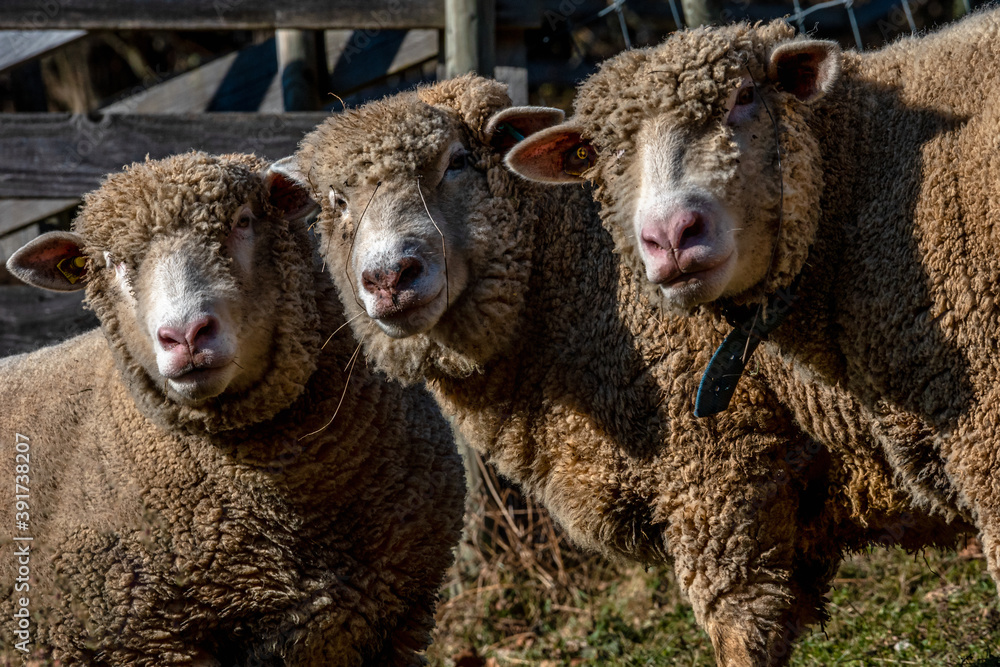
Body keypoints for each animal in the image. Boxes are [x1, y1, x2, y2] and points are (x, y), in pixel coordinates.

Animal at [275, 75, 969, 666]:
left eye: (458, 162)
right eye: (336, 200)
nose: (390, 277)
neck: (583, 279)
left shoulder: (719, 475)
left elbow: (741, 634)